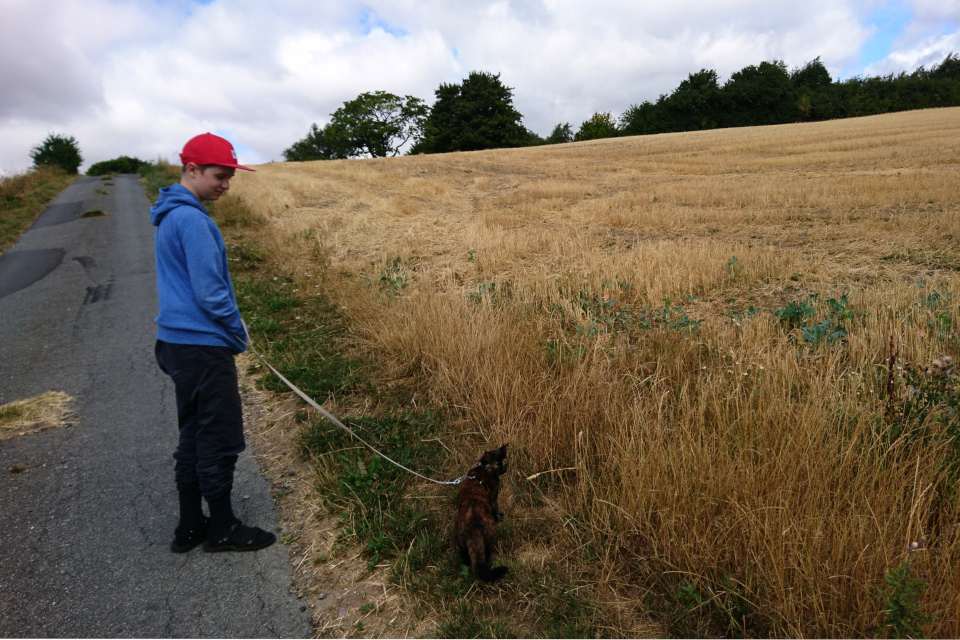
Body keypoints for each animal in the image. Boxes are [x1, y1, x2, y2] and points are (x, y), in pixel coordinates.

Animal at [458, 442, 510, 584]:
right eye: (497, 465)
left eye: (504, 461)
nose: (503, 468)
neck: (482, 468)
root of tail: (473, 529)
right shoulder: (493, 496)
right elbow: (496, 509)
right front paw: (499, 517)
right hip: (488, 538)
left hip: (462, 544)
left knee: (466, 560)